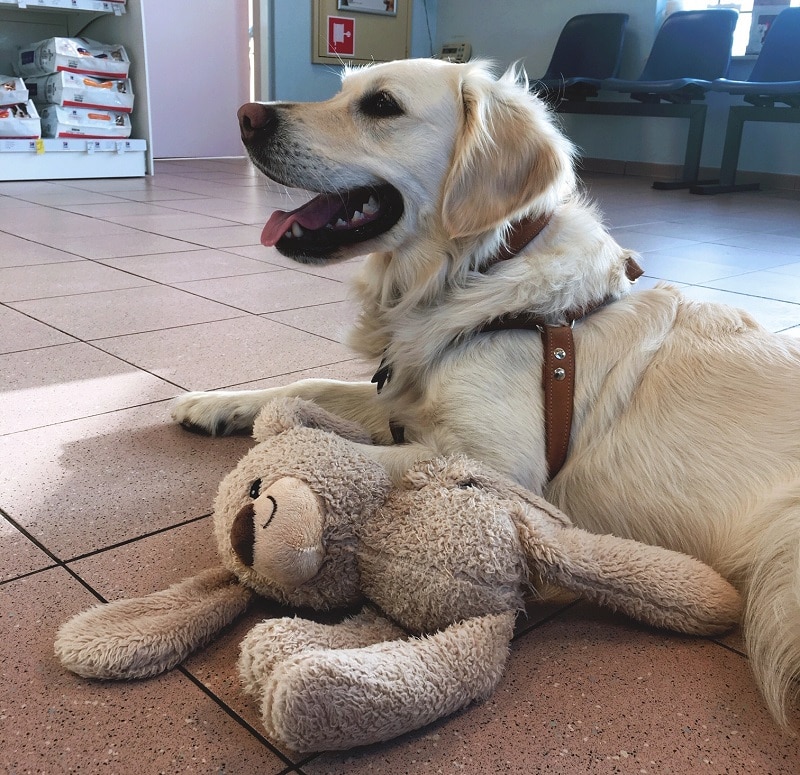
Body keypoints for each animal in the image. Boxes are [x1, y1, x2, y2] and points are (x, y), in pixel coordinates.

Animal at [173, 59, 800, 728]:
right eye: (342, 90)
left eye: (382, 105)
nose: (246, 116)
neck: (476, 273)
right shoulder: (403, 389)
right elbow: (309, 385)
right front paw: (211, 403)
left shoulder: (500, 462)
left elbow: (351, 456)